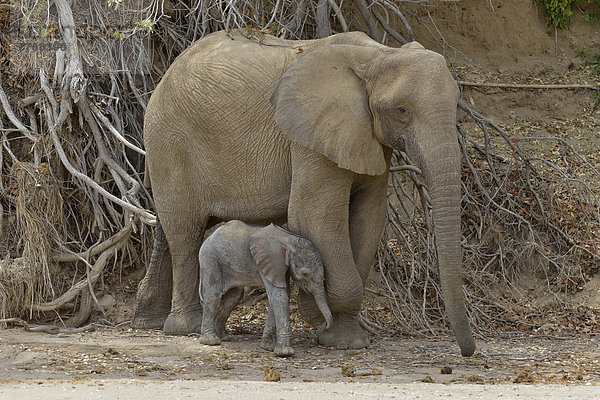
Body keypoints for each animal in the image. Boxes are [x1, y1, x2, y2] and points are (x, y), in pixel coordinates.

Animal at [198, 219, 332, 356]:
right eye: (305, 274)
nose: (326, 326)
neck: (290, 239)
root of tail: (210, 236)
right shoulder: (268, 261)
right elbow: (279, 296)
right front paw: (284, 352)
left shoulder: (281, 267)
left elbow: (279, 296)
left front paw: (268, 347)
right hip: (210, 258)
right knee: (213, 294)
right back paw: (211, 341)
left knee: (234, 297)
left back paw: (224, 337)